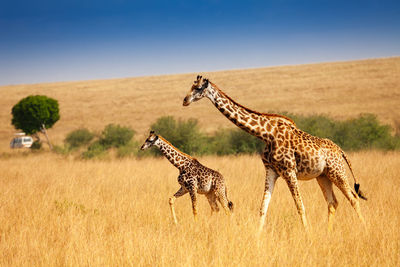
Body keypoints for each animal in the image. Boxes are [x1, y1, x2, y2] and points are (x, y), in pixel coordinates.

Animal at [182, 75, 366, 232]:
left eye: (198, 88)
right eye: (191, 86)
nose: (185, 100)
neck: (266, 134)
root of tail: (340, 150)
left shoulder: (289, 171)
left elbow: (300, 206)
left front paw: (308, 235)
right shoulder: (271, 170)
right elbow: (263, 208)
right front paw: (257, 238)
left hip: (337, 171)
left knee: (353, 198)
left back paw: (365, 229)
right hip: (323, 175)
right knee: (333, 202)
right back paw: (328, 232)